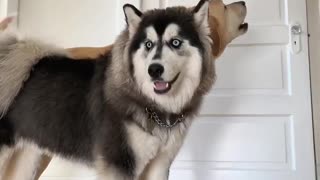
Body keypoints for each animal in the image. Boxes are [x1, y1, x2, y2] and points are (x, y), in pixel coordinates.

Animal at [0, 0, 248, 179]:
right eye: (148, 44)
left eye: (176, 42)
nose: (154, 70)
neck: (152, 105)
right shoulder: (120, 164)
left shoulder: (159, 164)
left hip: (27, 156)